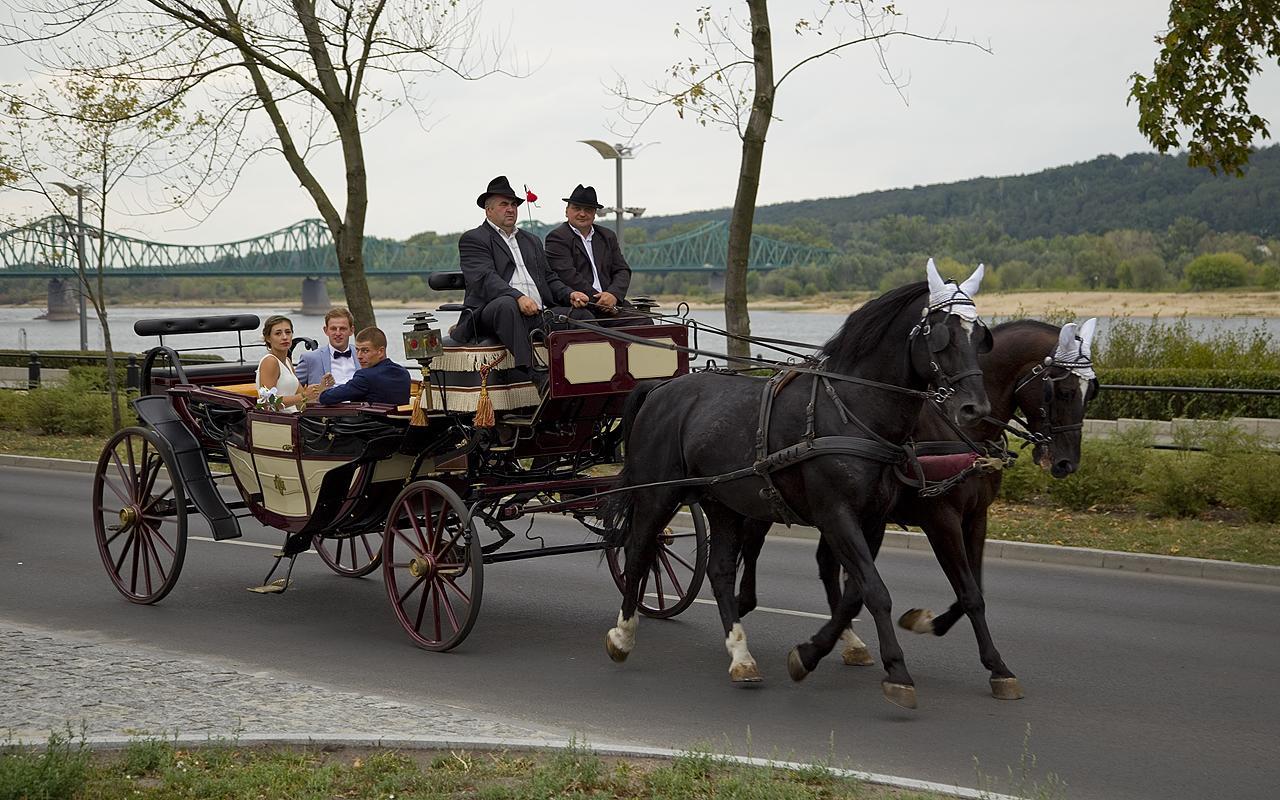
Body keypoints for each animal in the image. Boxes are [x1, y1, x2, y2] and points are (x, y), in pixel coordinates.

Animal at [606, 262, 988, 706]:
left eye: (980, 335)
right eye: (942, 333)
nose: (975, 408)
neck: (852, 411)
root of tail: (661, 386)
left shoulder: (872, 520)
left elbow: (857, 592)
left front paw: (812, 653)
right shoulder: (837, 514)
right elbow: (875, 591)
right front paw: (897, 671)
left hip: (722, 500)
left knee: (719, 570)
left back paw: (741, 655)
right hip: (658, 492)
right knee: (638, 551)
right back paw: (623, 635)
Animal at [737, 318, 1105, 696]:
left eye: (1091, 391)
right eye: (1062, 391)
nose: (1066, 463)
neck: (957, 429)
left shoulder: (976, 518)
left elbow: (974, 588)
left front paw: (935, 626)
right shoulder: (941, 520)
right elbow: (968, 592)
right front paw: (992, 663)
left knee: (826, 565)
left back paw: (848, 641)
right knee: (752, 545)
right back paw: (744, 607)